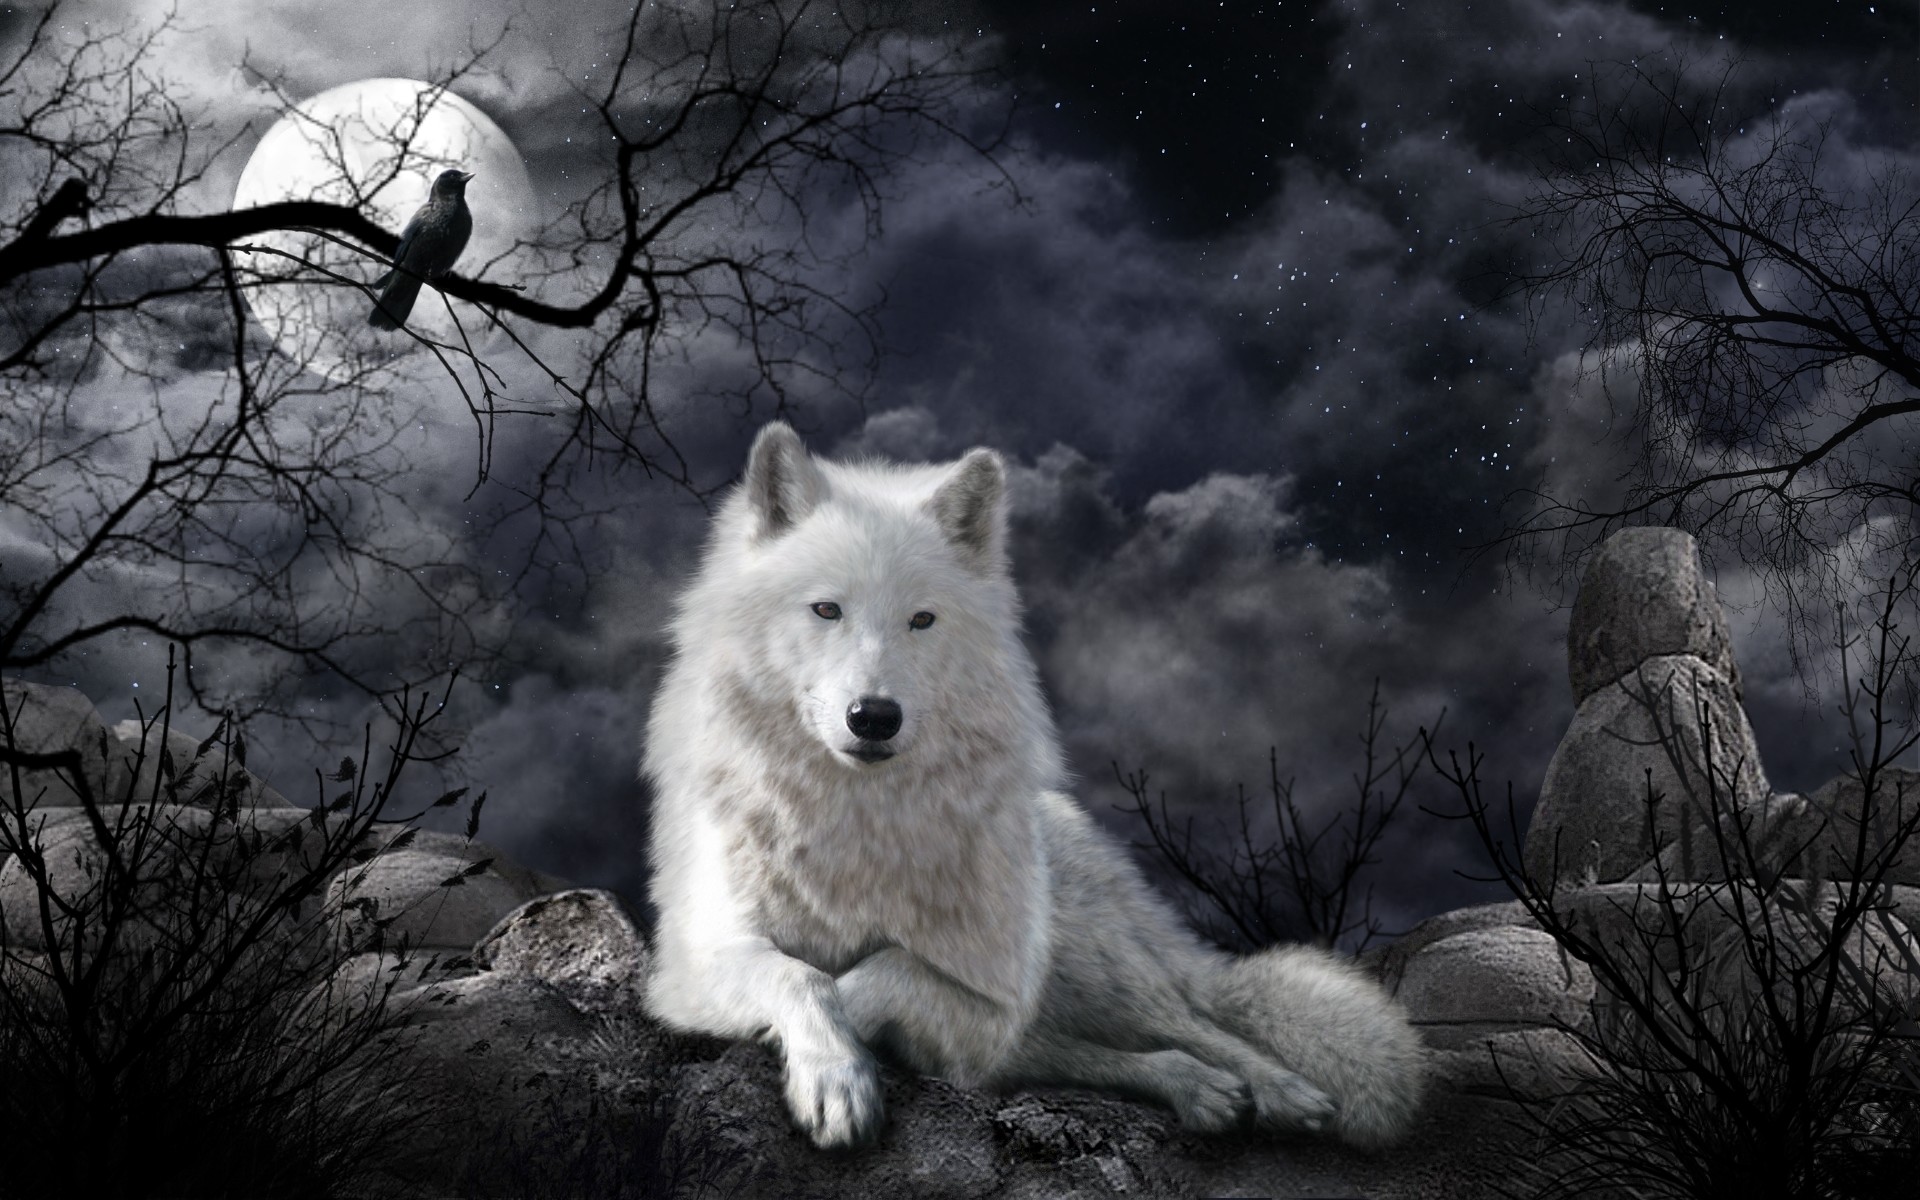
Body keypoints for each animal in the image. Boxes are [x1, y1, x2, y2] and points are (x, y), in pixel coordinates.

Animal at [643, 422, 1426, 1151]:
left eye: (922, 619)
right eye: (826, 610)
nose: (874, 717)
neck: (858, 819)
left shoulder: (993, 997)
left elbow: (884, 970)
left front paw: (841, 1056)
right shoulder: (690, 966)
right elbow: (800, 975)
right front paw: (835, 1077)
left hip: (1097, 965)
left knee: (1198, 1024)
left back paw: (1285, 1092)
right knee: (1100, 1052)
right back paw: (1200, 1090)